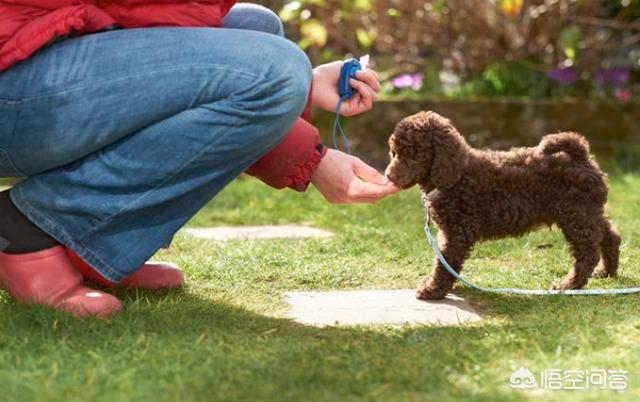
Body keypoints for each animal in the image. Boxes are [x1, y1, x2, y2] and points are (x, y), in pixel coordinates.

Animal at [384, 110, 620, 298]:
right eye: (394, 152)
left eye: (414, 154)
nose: (388, 176)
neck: (457, 176)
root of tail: (581, 156)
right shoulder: (450, 231)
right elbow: (444, 260)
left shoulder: (458, 231)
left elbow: (445, 262)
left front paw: (433, 290)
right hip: (587, 212)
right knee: (610, 235)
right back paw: (606, 271)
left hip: (576, 215)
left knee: (587, 252)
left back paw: (569, 285)